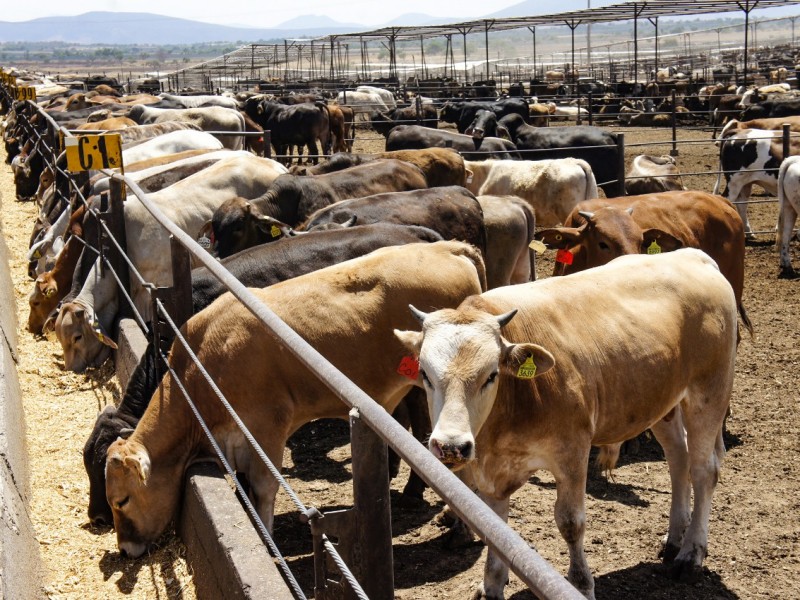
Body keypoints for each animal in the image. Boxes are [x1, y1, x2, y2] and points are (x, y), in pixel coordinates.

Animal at [102, 240, 484, 556]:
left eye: (121, 500)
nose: (124, 550)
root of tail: (447, 247)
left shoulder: (267, 425)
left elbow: (264, 487)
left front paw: (267, 541)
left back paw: (456, 529)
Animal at [396, 247, 740, 596]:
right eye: (424, 373)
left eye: (491, 375)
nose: (451, 446)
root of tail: (692, 255)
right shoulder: (493, 471)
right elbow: (493, 524)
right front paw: (491, 585)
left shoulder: (573, 453)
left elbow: (571, 523)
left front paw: (581, 584)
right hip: (662, 401)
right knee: (678, 460)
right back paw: (673, 539)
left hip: (708, 393)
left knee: (704, 470)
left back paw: (691, 554)